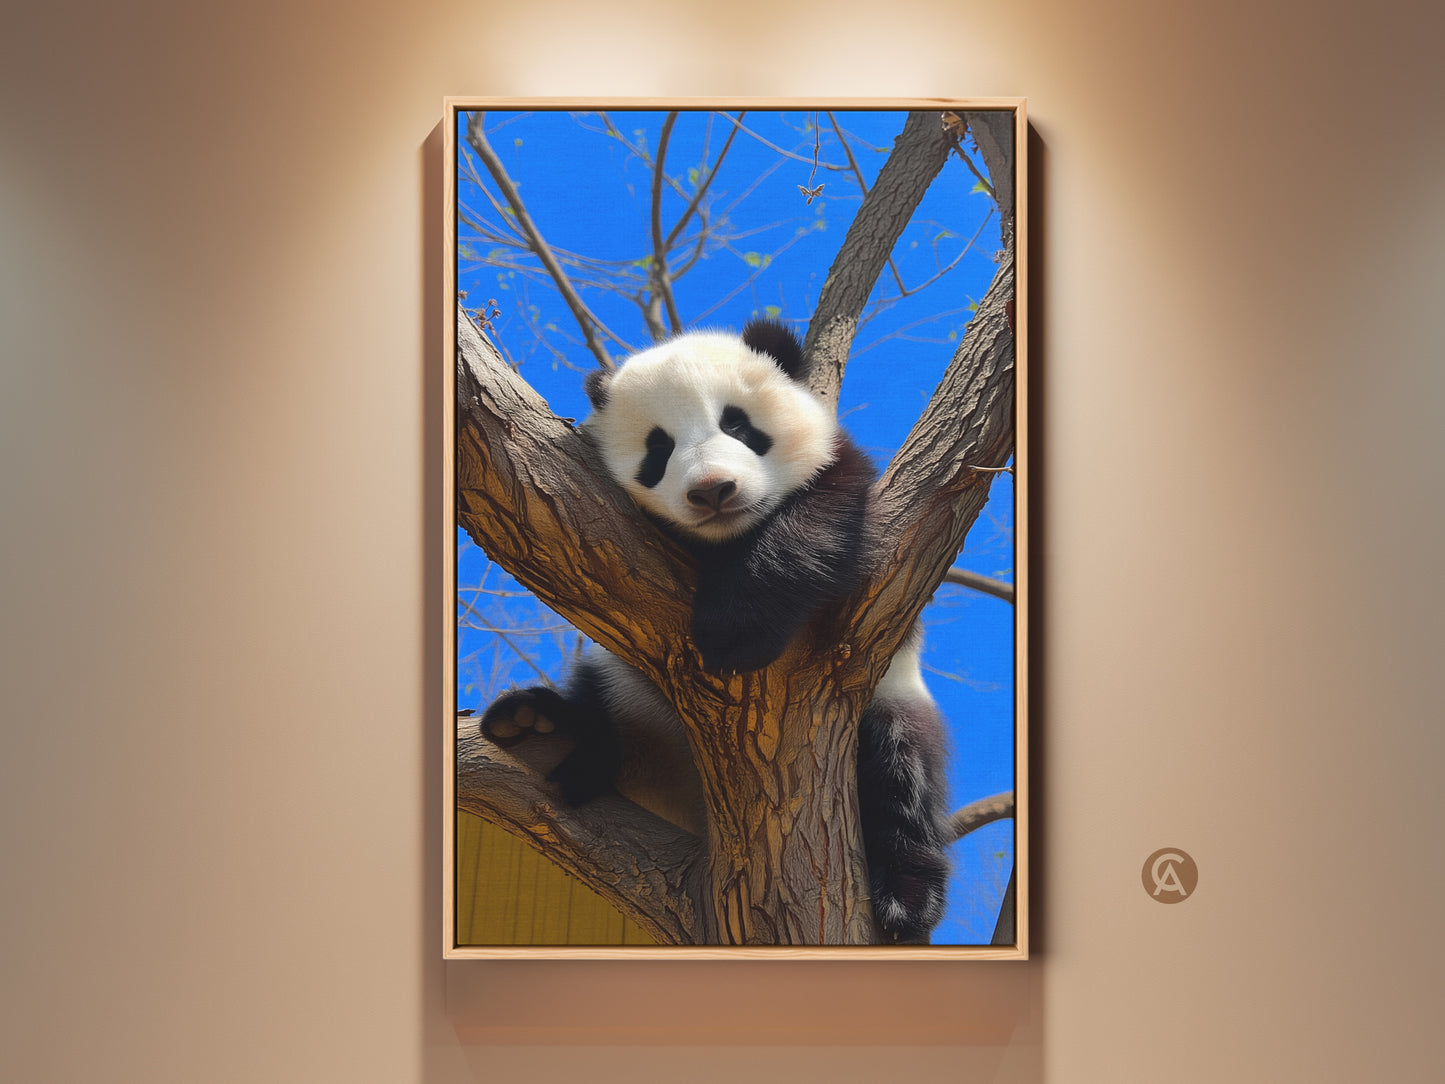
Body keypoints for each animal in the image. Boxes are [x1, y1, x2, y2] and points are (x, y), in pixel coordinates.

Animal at [480, 318, 950, 944]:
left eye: (737, 425)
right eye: (658, 449)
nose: (712, 490)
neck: (725, 540)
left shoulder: (852, 491)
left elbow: (821, 518)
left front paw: (737, 631)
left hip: (890, 698)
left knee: (899, 774)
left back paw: (906, 898)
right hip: (628, 697)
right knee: (597, 699)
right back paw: (542, 724)